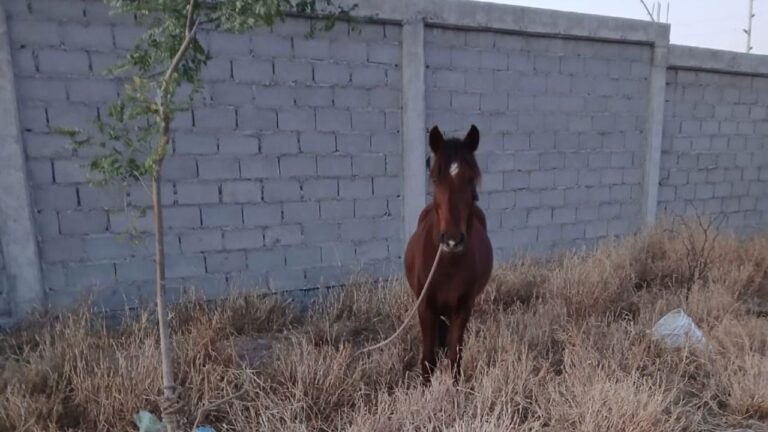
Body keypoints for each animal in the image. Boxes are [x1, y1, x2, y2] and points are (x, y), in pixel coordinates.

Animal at [404, 124, 493, 385]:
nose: (453, 240)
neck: (448, 265)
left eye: (471, 178)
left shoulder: (463, 308)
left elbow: (455, 356)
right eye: (435, 178)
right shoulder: (425, 307)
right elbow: (427, 359)